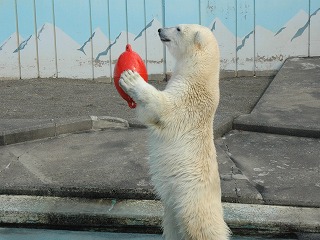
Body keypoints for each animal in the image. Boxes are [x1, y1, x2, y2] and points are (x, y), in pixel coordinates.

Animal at [120, 23, 230, 239]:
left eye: (178, 28)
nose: (160, 30)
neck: (199, 73)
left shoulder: (190, 96)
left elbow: (164, 109)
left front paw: (131, 79)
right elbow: (149, 115)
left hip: (190, 198)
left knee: (197, 227)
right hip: (173, 205)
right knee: (171, 224)